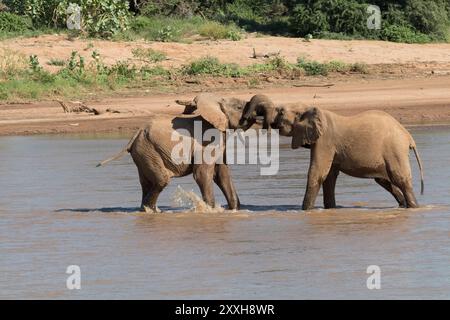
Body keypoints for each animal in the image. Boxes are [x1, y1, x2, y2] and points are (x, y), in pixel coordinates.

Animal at [97, 92, 255, 212]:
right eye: (239, 107)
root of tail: (135, 135)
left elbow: (222, 174)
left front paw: (234, 210)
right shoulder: (207, 140)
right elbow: (202, 174)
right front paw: (210, 211)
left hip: (143, 153)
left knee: (146, 183)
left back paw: (146, 210)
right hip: (149, 150)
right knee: (162, 180)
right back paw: (152, 210)